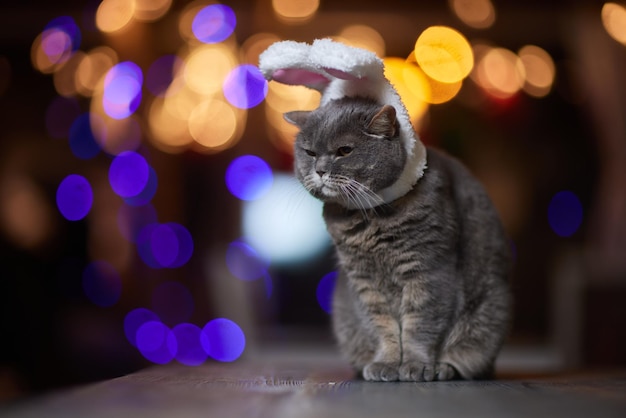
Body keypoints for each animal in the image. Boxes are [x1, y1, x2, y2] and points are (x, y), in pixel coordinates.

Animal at [286, 95, 510, 382]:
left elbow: (420, 323)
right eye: (310, 153)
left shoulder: (428, 270)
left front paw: (416, 365)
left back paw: (443, 369)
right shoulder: (364, 280)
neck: (371, 221)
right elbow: (381, 325)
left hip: (489, 314)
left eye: (345, 150)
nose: (320, 170)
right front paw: (386, 363)